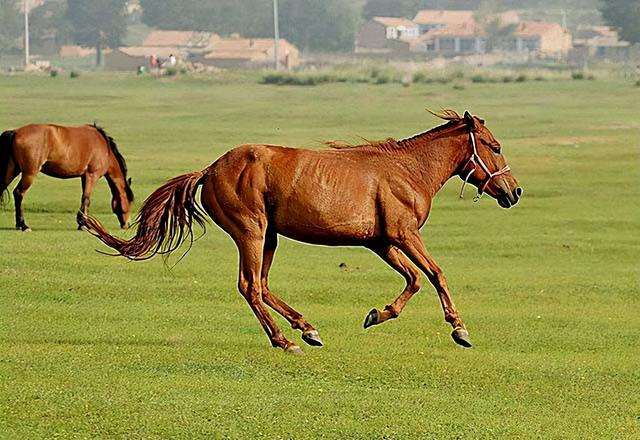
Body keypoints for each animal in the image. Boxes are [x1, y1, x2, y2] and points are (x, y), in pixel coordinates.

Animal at [0, 124, 134, 230]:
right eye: (129, 200)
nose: (127, 224)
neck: (104, 148)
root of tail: (15, 132)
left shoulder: (84, 177)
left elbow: (84, 198)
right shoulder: (92, 175)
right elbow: (86, 198)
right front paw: (83, 224)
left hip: (12, 170)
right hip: (29, 174)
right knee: (19, 193)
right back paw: (23, 225)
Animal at [80, 111, 524, 354]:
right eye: (495, 146)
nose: (514, 191)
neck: (407, 171)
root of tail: (210, 169)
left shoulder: (381, 242)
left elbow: (414, 279)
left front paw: (377, 314)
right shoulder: (404, 235)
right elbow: (435, 274)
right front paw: (459, 329)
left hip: (270, 236)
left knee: (261, 285)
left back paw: (307, 329)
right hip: (252, 231)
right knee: (250, 286)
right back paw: (285, 340)